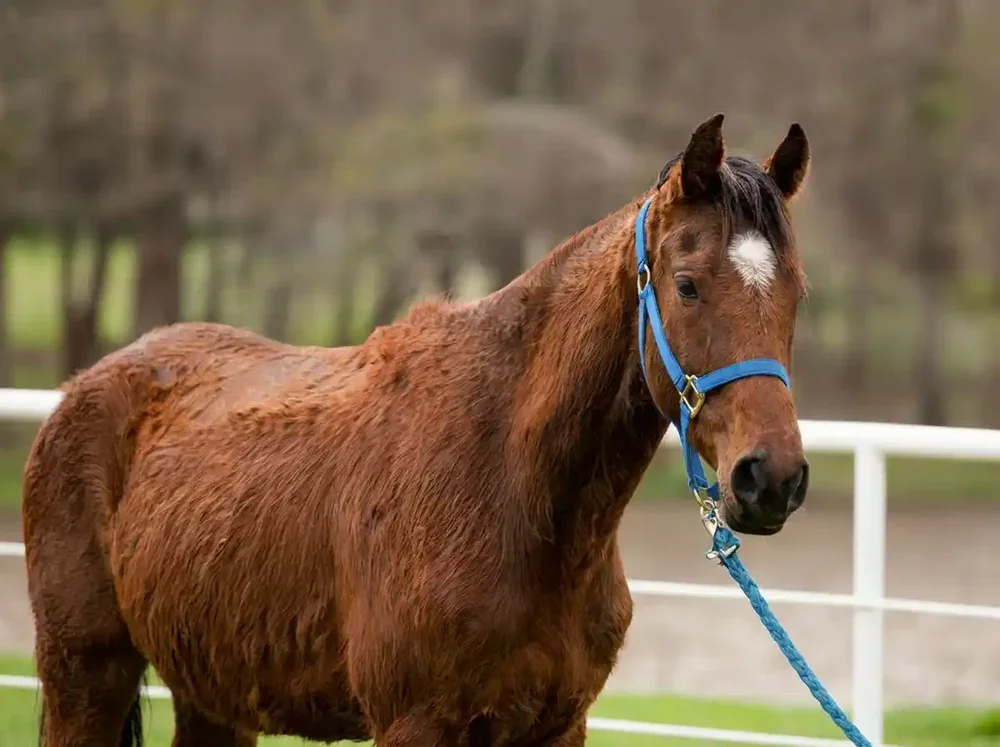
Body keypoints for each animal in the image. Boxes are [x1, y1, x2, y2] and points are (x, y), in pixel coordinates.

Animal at [22, 113, 811, 747]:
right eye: (686, 285)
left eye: (796, 293)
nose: (771, 478)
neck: (511, 485)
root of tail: (83, 386)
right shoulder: (415, 723)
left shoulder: (558, 725)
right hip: (84, 675)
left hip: (212, 693)